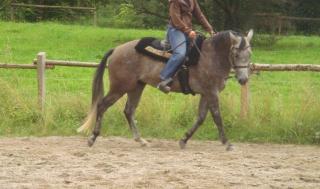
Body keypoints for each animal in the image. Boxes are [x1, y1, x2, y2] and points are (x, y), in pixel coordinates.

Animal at [77, 29, 252, 151]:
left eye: (249, 54)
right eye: (236, 54)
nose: (243, 79)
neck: (210, 56)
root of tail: (116, 49)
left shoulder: (206, 94)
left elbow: (201, 118)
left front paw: (184, 140)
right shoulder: (212, 93)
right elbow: (217, 117)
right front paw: (227, 143)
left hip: (137, 86)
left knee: (129, 111)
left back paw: (141, 140)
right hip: (120, 87)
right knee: (102, 105)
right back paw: (92, 138)